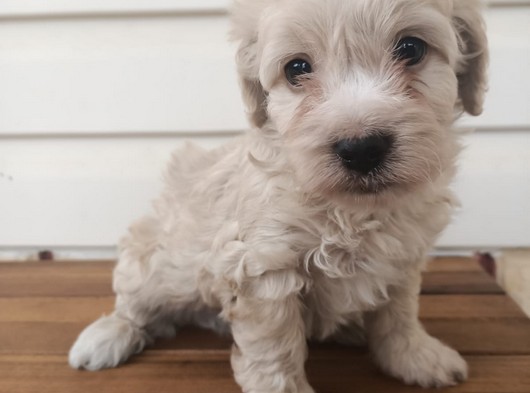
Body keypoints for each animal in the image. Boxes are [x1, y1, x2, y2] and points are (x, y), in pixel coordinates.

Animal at [70, 1, 486, 390]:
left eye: (411, 48)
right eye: (296, 69)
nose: (362, 149)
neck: (353, 211)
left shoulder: (403, 257)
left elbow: (399, 315)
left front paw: (415, 356)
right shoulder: (262, 265)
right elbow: (275, 348)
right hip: (155, 261)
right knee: (134, 301)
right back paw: (107, 337)